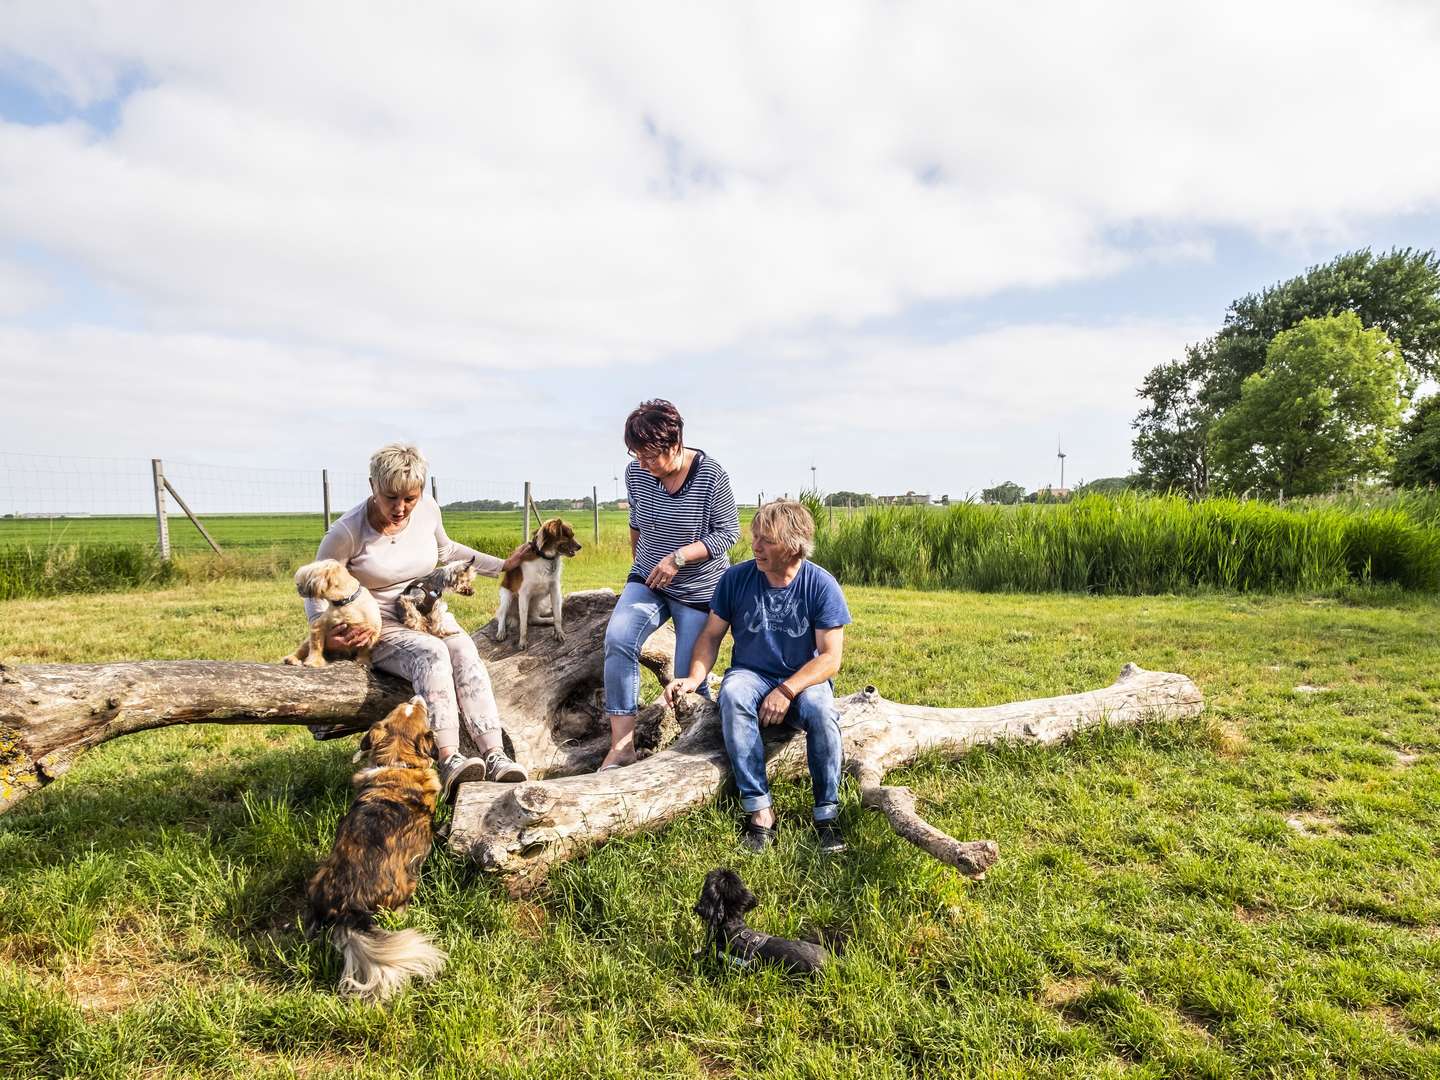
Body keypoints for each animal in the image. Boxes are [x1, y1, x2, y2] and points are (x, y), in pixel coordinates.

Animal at [300, 696, 440, 1002]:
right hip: (407, 882)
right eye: (421, 712)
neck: (397, 761)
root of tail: (348, 909)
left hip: (317, 876)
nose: (416, 697)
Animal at [498, 518, 581, 650]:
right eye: (567, 536)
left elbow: (558, 615)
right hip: (507, 597)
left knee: (532, 619)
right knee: (502, 615)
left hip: (541, 602)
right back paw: (501, 632)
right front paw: (522, 641)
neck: (545, 557)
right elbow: (523, 624)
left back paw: (548, 620)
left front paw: (559, 632)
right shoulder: (524, 594)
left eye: (572, 535)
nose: (580, 546)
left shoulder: (555, 589)